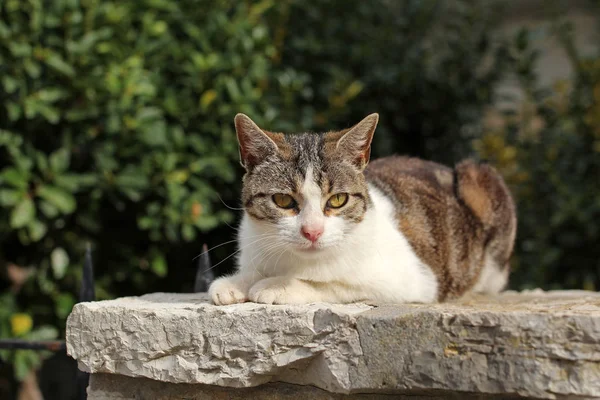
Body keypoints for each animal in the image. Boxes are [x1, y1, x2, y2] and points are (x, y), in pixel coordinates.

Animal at [207, 114, 516, 304]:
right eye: (283, 201)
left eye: (338, 200)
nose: (312, 232)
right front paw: (236, 283)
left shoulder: (414, 280)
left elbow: (335, 284)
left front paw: (277, 286)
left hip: (478, 178)